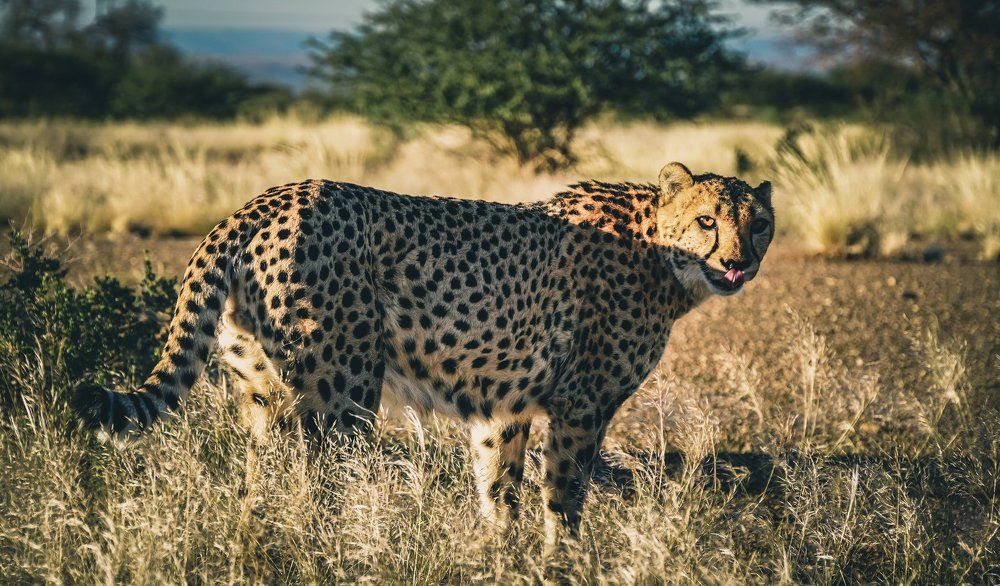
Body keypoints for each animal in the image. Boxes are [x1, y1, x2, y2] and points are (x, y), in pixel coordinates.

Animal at [72, 161, 774, 550]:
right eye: (707, 221)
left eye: (758, 223)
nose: (739, 262)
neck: (661, 252)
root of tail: (261, 201)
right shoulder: (579, 406)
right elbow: (565, 497)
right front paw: (563, 560)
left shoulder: (502, 406)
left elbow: (499, 490)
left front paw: (500, 555)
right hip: (341, 393)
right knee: (315, 486)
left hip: (262, 393)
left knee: (257, 484)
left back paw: (258, 546)